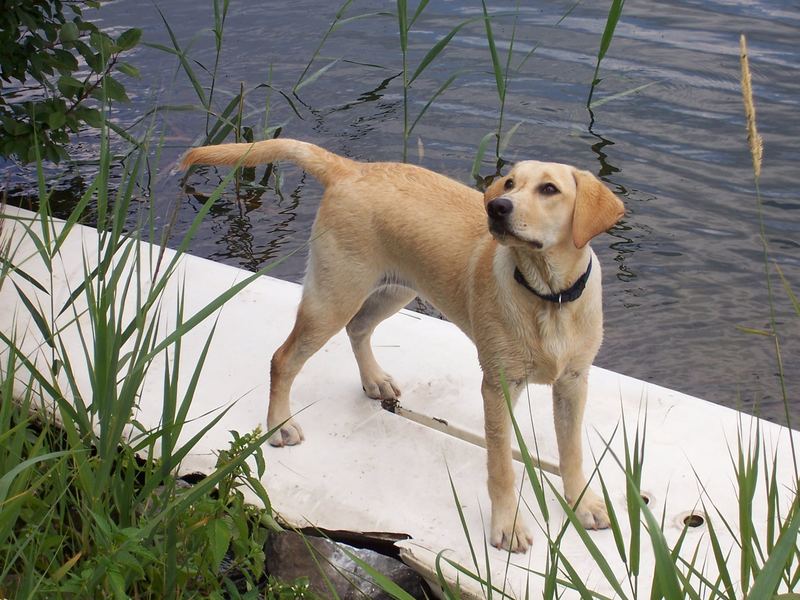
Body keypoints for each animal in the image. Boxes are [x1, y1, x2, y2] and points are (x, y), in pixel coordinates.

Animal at [181, 138, 624, 552]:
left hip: (394, 290)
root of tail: (350, 169)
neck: (548, 296)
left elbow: (572, 452)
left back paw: (374, 380)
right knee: (283, 358)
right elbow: (501, 465)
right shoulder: (498, 387)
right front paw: (508, 526)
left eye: (550, 189)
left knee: (358, 329)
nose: (498, 207)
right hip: (334, 296)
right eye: (511, 183)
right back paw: (280, 424)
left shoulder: (573, 382)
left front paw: (583, 505)